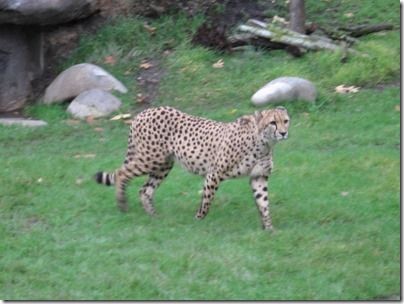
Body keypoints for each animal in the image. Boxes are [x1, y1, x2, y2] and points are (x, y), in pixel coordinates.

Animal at [94, 105, 290, 232]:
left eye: (286, 121)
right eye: (273, 122)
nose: (283, 133)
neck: (264, 143)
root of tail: (144, 111)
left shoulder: (258, 177)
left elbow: (263, 203)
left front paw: (269, 229)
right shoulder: (214, 174)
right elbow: (207, 202)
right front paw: (197, 221)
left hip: (163, 164)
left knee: (145, 190)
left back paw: (154, 216)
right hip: (149, 159)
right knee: (121, 173)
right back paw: (122, 204)